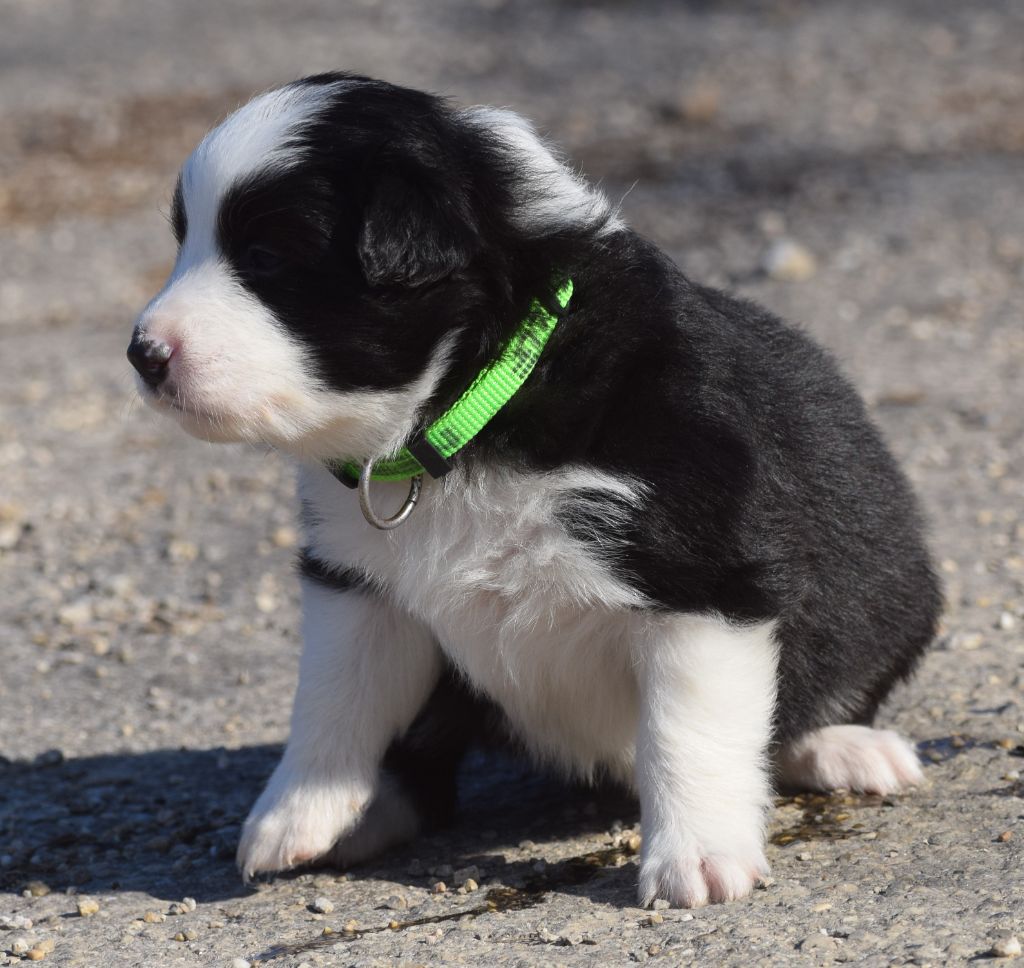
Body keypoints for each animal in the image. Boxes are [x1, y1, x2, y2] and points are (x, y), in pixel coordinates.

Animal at [125, 69, 937, 905]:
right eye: (186, 241)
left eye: (263, 256)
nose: (142, 353)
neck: (469, 413)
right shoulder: (358, 585)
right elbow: (331, 696)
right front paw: (292, 815)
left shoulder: (705, 579)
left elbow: (687, 729)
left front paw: (698, 857)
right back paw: (375, 810)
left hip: (896, 599)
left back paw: (841, 748)